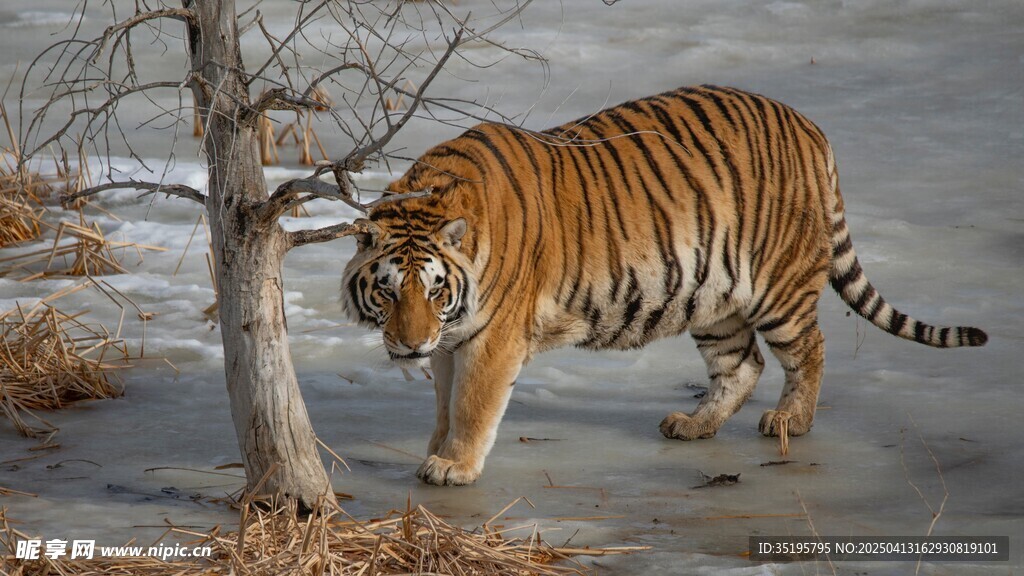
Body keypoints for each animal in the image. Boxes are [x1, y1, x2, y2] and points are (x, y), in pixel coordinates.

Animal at [341, 85, 987, 486]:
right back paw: (693, 426)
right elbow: (444, 403)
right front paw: (436, 450)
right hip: (714, 297)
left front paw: (453, 467)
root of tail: (809, 125)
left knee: (809, 349)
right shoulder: (452, 340)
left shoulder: (491, 337)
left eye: (433, 290)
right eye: (389, 291)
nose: (409, 344)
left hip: (777, 286)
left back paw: (789, 421)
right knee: (742, 365)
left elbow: (472, 404)